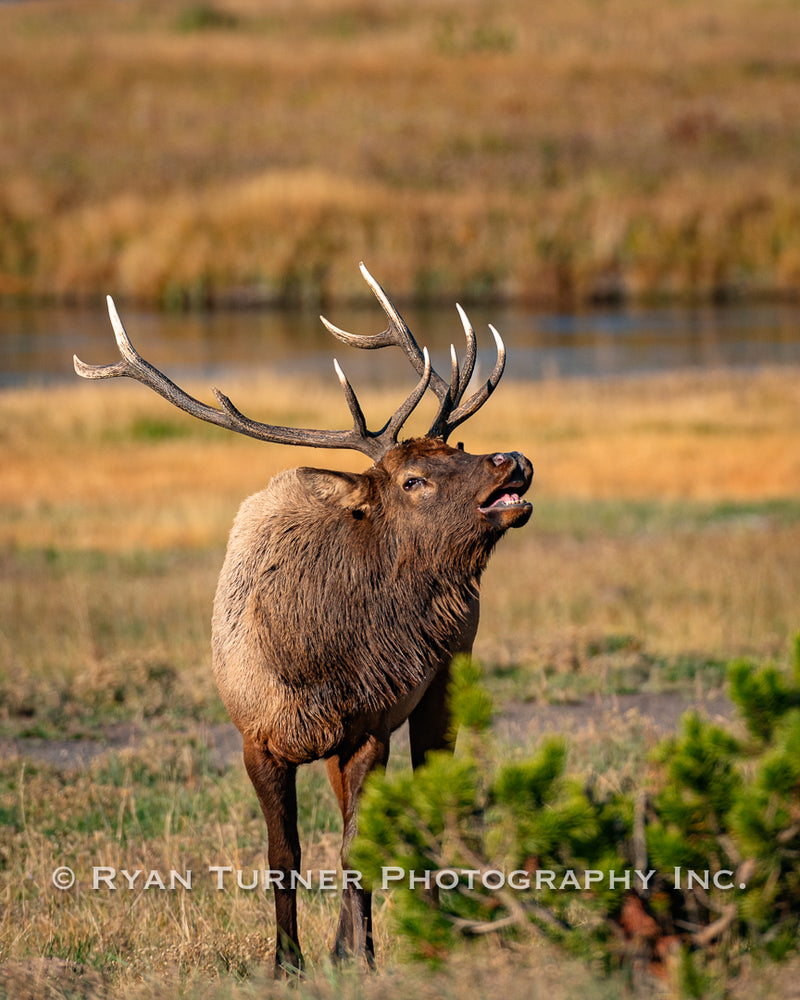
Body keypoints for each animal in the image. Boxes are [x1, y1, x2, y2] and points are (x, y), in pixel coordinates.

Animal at [75, 264, 536, 976]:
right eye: (413, 479)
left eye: (457, 446)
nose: (511, 458)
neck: (311, 663)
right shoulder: (257, 737)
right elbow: (283, 856)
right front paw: (288, 962)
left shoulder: (369, 727)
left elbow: (357, 847)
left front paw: (360, 958)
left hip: (445, 678)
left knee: (433, 799)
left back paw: (437, 929)